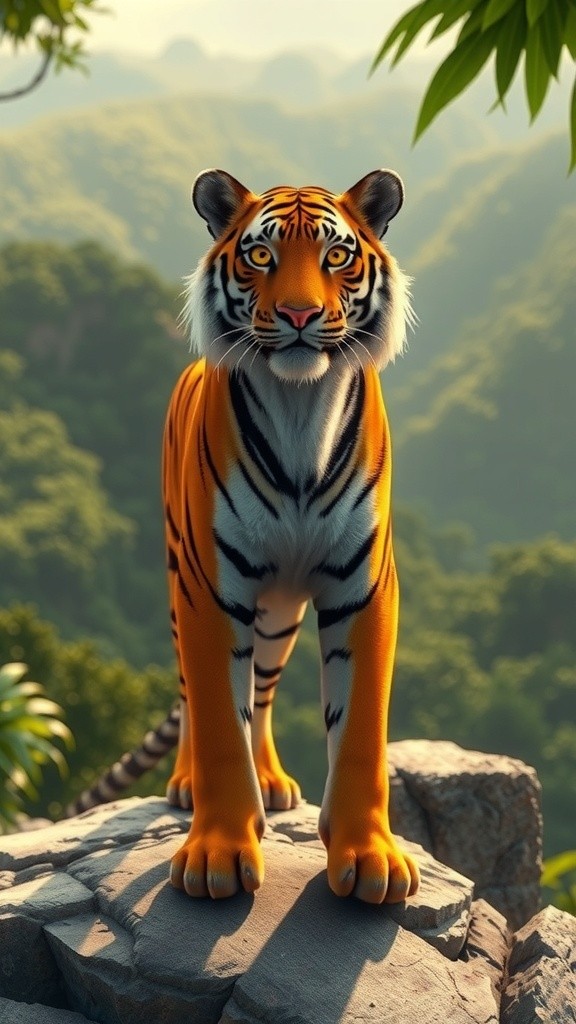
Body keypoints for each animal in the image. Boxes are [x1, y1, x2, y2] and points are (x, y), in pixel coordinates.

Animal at [158, 166, 420, 905]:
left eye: (335, 255)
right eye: (259, 254)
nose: (300, 316)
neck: (302, 405)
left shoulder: (365, 588)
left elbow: (359, 729)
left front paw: (371, 859)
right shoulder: (209, 588)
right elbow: (219, 721)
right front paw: (217, 856)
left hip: (277, 616)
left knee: (264, 690)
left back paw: (271, 782)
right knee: (194, 693)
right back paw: (186, 783)